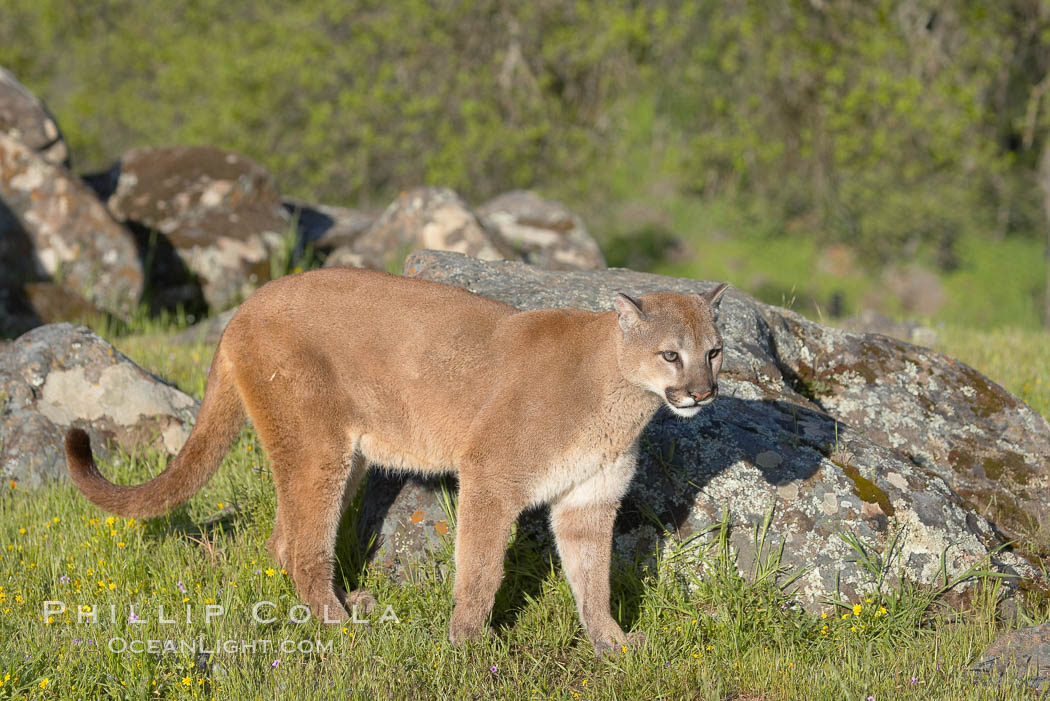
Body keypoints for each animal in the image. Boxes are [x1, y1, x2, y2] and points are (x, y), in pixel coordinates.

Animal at [63, 265, 722, 654]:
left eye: (713, 352)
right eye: (670, 354)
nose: (703, 392)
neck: (617, 396)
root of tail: (248, 304)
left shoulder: (588, 501)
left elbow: (593, 578)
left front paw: (612, 642)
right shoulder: (491, 477)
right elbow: (481, 569)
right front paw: (467, 644)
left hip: (345, 453)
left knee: (285, 539)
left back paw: (339, 606)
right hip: (318, 444)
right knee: (303, 545)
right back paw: (338, 624)